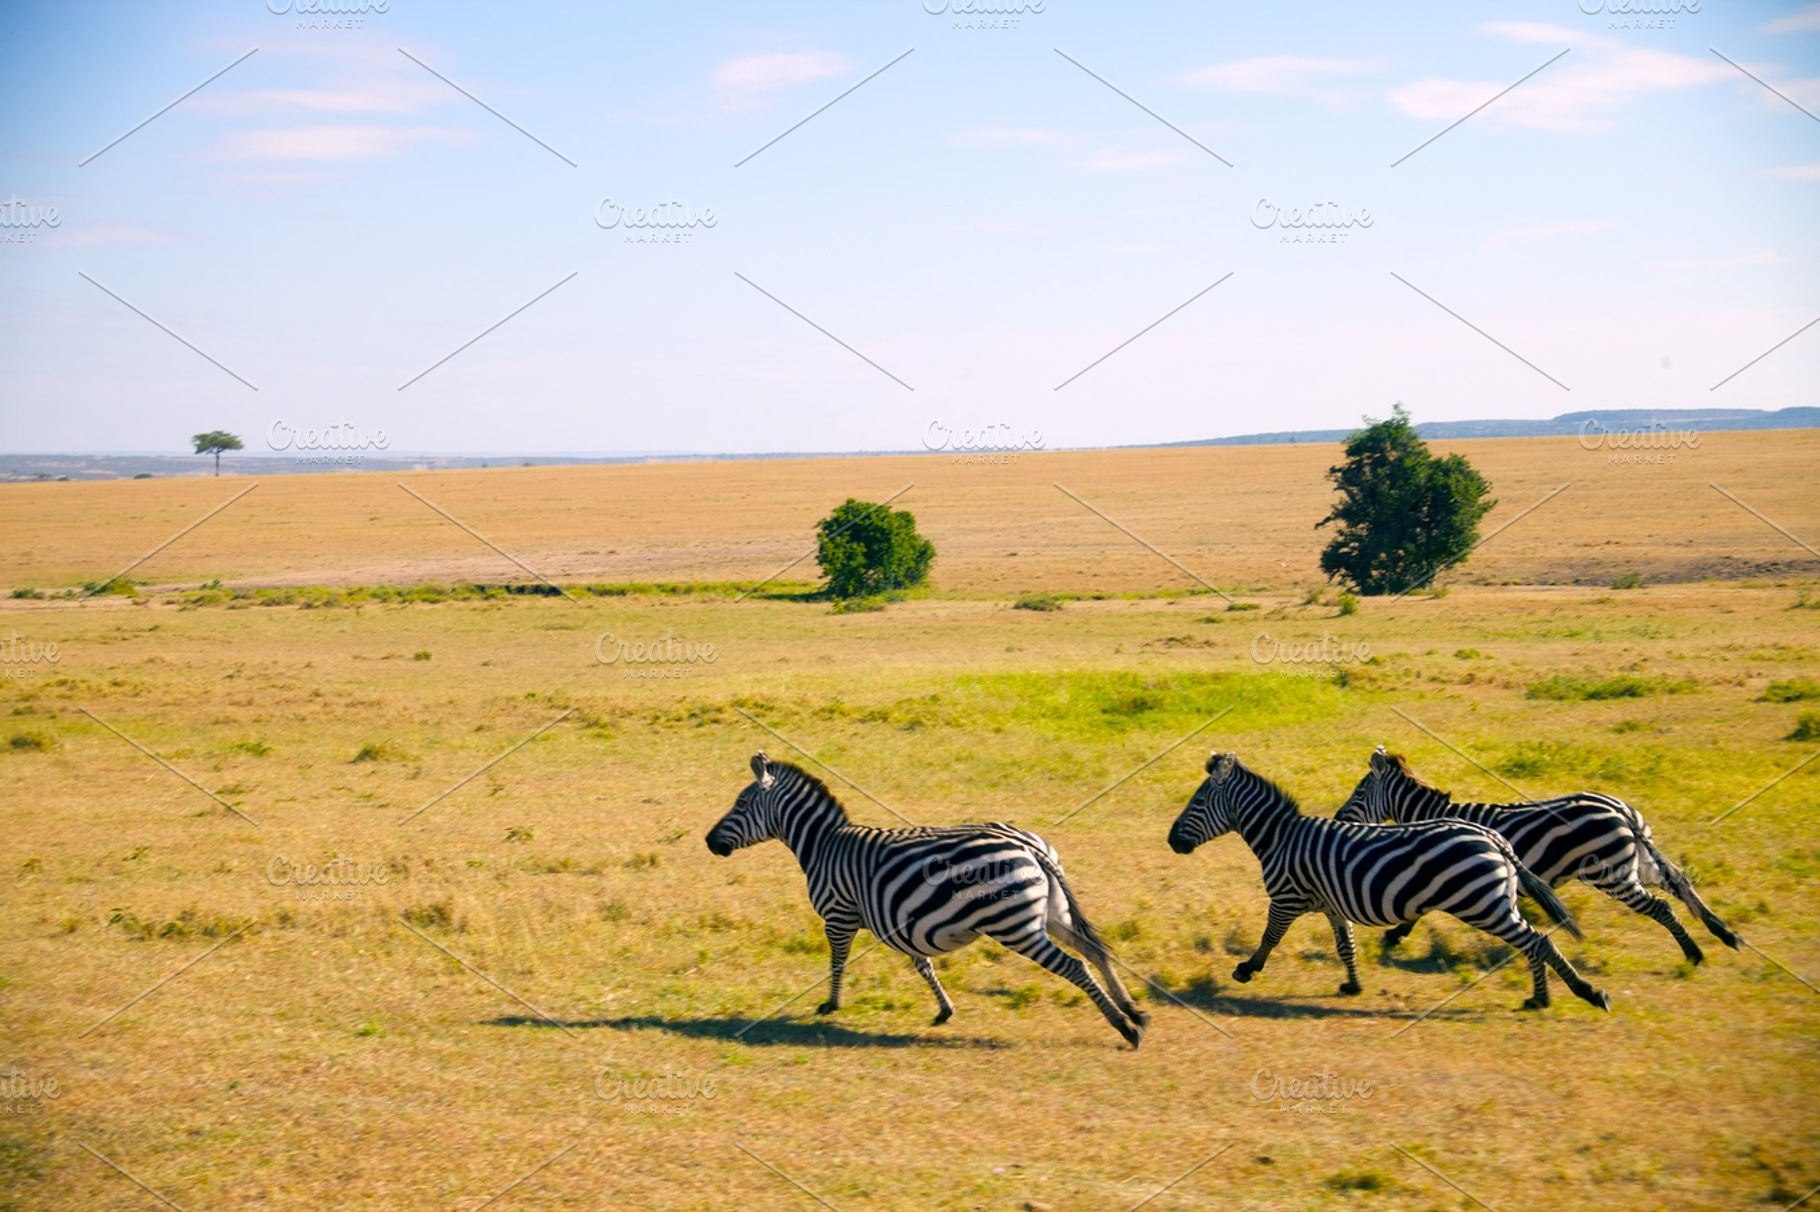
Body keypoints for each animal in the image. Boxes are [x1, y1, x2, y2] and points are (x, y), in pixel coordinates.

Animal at [705, 753, 1149, 1047]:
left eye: (740, 804)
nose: (709, 842)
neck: (822, 844)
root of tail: (1028, 846)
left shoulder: (838, 915)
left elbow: (837, 961)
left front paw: (831, 1004)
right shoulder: (902, 919)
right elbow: (923, 964)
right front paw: (945, 1009)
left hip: (1015, 925)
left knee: (1074, 965)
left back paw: (1125, 1028)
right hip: (1052, 913)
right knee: (1093, 950)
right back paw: (1135, 1011)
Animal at [1168, 751, 1612, 1012]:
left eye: (1198, 802)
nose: (1172, 842)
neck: (1280, 837)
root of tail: (1494, 839)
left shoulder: (1286, 898)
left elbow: (1269, 937)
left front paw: (1246, 970)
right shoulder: (1331, 904)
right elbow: (1345, 945)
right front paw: (1352, 984)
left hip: (1484, 906)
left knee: (1537, 940)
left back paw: (1582, 993)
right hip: (1499, 903)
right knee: (1536, 940)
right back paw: (1544, 996)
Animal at [1334, 746, 1741, 963]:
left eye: (1358, 794)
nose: (1338, 817)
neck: (1436, 816)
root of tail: (1620, 810)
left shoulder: (1449, 873)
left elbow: (1422, 910)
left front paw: (1394, 936)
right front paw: (1396, 935)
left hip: (1611, 874)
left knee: (1661, 906)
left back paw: (1694, 954)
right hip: (1640, 863)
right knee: (1681, 883)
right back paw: (1724, 934)